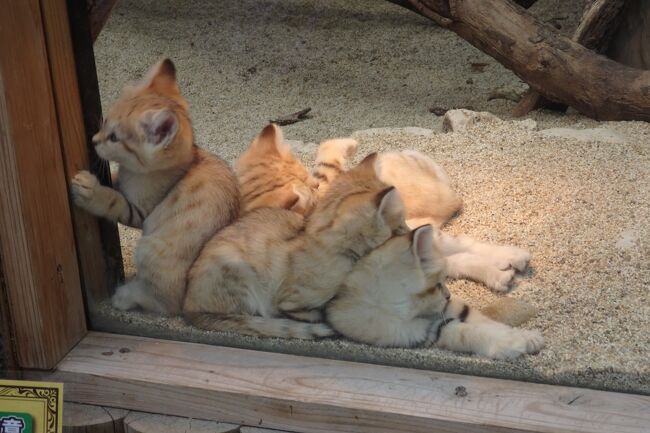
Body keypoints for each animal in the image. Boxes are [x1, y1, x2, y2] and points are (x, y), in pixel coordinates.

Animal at [71, 58, 238, 314]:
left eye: (114, 138)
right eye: (105, 122)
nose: (94, 141)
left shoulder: (140, 210)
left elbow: (113, 200)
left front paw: (90, 191)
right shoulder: (124, 181)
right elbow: (115, 179)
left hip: (150, 251)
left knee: (166, 304)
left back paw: (126, 297)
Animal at [182, 148, 404, 338]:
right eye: (401, 224)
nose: (408, 229)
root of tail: (188, 307)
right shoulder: (289, 300)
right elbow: (306, 312)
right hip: (240, 275)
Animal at [324, 223, 540, 358]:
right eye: (437, 286)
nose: (448, 295)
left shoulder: (450, 307)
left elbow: (486, 322)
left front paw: (526, 337)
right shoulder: (420, 332)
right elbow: (470, 334)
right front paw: (513, 343)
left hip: (435, 239)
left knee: (462, 244)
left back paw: (514, 256)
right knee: (458, 259)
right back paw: (501, 274)